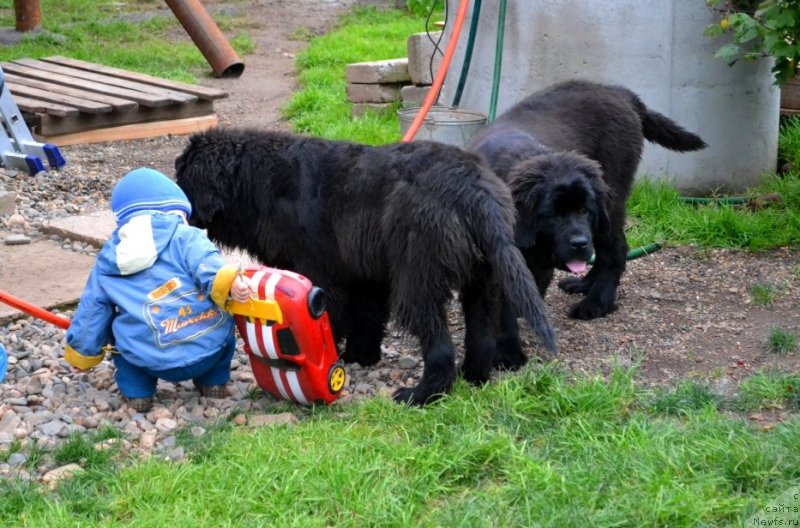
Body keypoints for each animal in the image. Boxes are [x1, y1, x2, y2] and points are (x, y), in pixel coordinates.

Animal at [173, 128, 556, 404]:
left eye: (182, 177)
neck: (257, 181)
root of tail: (474, 189)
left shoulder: (320, 273)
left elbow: (332, 322)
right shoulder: (366, 276)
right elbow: (368, 319)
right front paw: (361, 356)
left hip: (417, 280)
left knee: (440, 347)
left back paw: (421, 395)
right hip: (483, 282)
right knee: (481, 334)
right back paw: (474, 379)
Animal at [468, 80, 708, 328]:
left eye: (584, 211)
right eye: (553, 216)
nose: (579, 243)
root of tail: (619, 92)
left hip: (611, 205)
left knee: (614, 250)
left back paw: (595, 303)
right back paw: (584, 284)